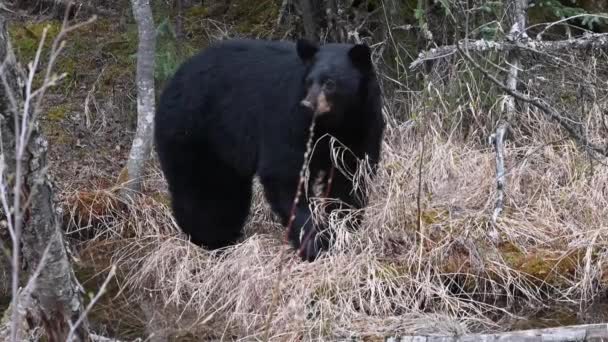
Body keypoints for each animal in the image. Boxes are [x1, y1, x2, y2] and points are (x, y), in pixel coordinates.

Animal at [157, 38, 384, 262]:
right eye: (308, 81)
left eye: (330, 83)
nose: (308, 105)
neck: (335, 122)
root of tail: (172, 81)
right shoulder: (290, 121)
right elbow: (285, 173)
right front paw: (315, 243)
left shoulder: (363, 125)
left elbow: (351, 177)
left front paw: (342, 229)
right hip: (193, 132)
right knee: (203, 192)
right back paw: (209, 240)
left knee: (228, 193)